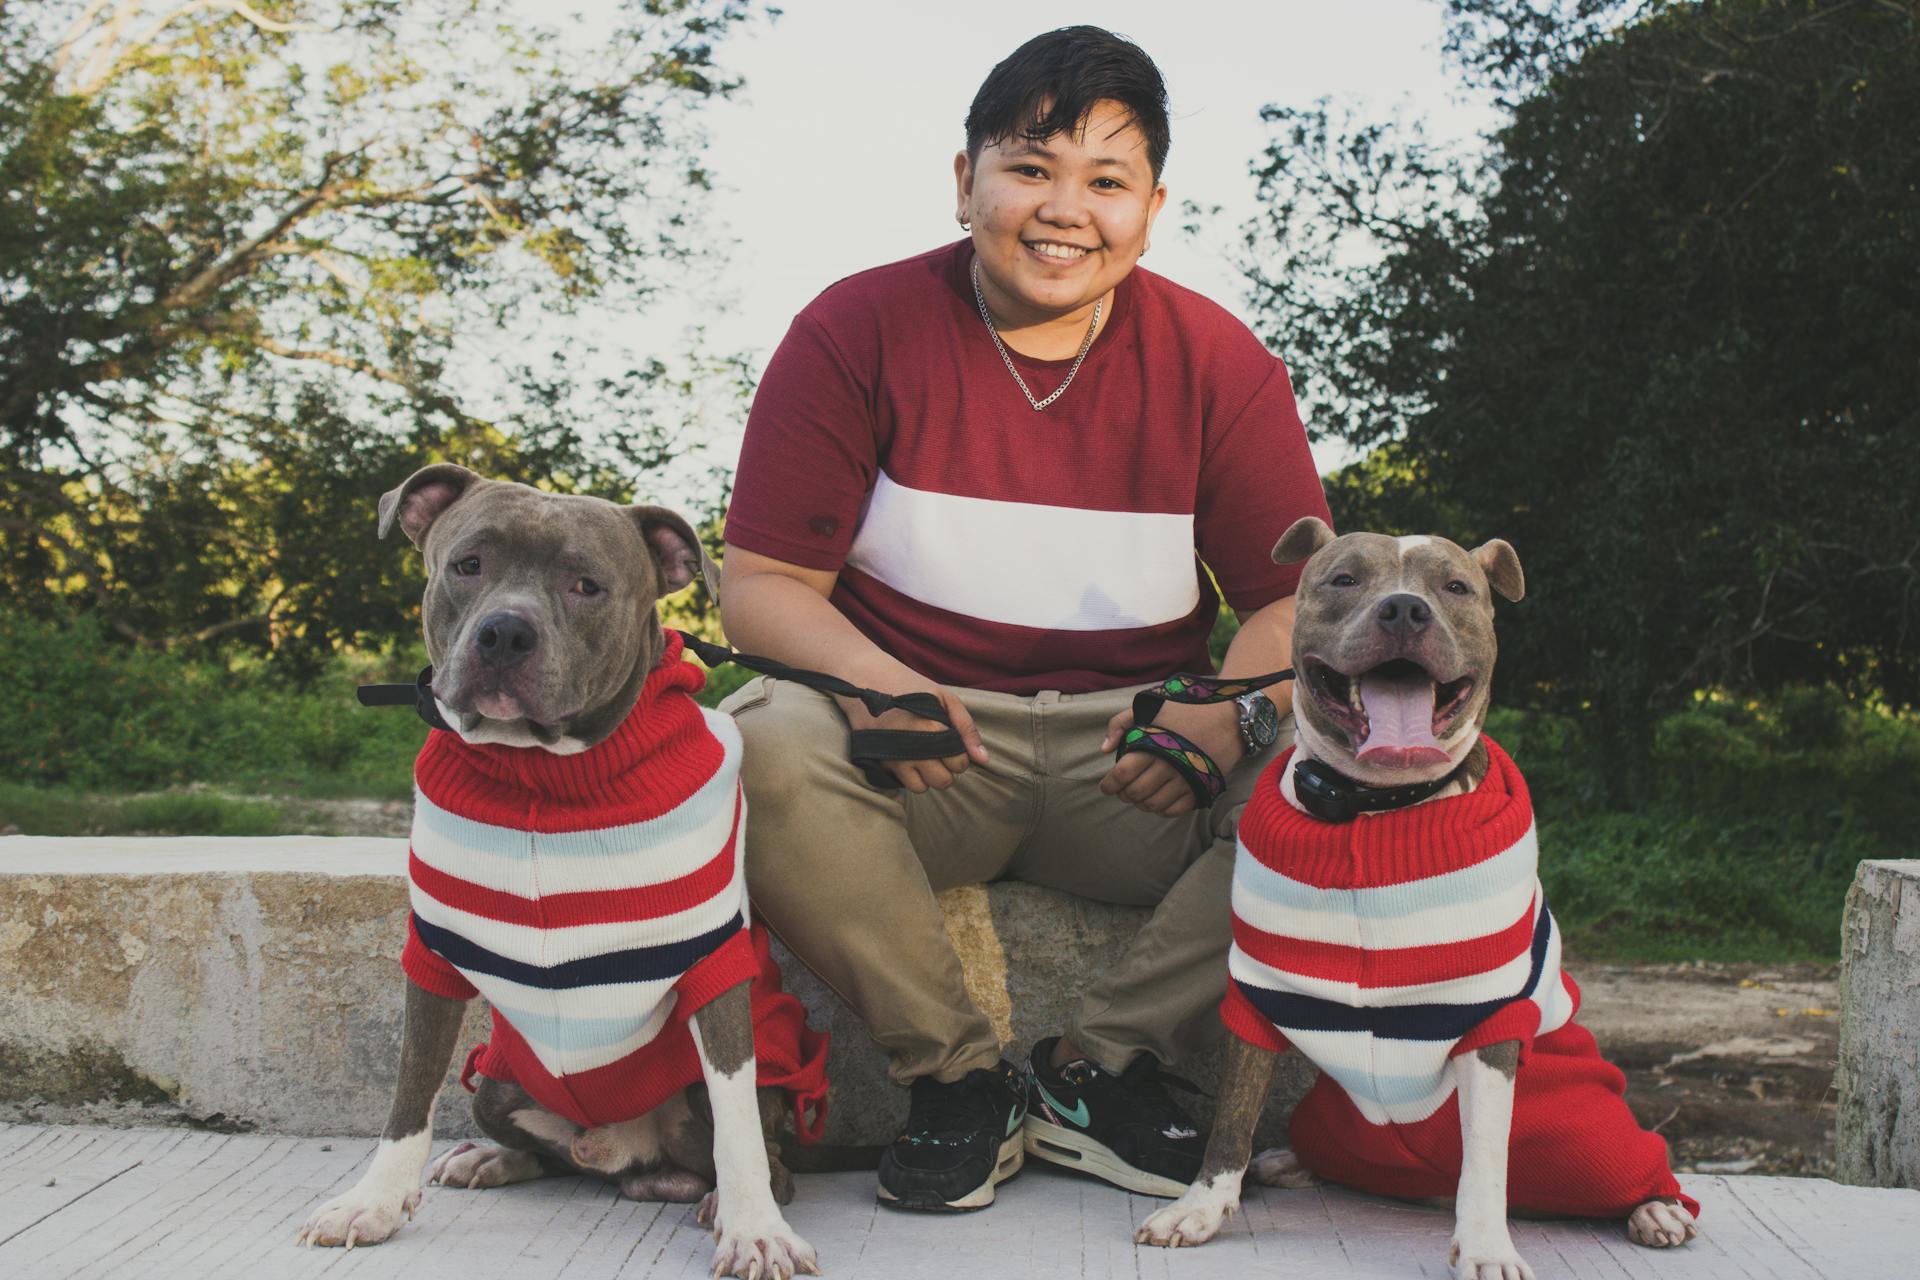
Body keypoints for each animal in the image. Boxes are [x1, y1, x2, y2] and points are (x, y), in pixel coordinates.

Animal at [295, 466, 821, 1280]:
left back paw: (711, 1198)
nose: (505, 632)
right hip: (497, 1080)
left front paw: (753, 1230)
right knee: (544, 1152)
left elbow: (738, 1129)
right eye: (468, 564)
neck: (540, 776)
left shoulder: (714, 970)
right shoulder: (433, 956)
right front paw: (373, 1202)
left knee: (751, 1152)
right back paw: (490, 1159)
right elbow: (410, 1094)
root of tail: (622, 1149)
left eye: (587, 585)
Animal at [1128, 518, 1704, 1280]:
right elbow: (1231, 1120)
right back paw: (1292, 1161)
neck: (1371, 814)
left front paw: (1487, 1246)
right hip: (1333, 1116)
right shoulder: (1258, 992)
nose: (1404, 609)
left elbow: (1485, 1158)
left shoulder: (1489, 1021)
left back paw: (1657, 1207)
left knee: (1624, 1166)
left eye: (1455, 586)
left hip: (1586, 1129)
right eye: (1344, 578)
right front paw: (1200, 1207)